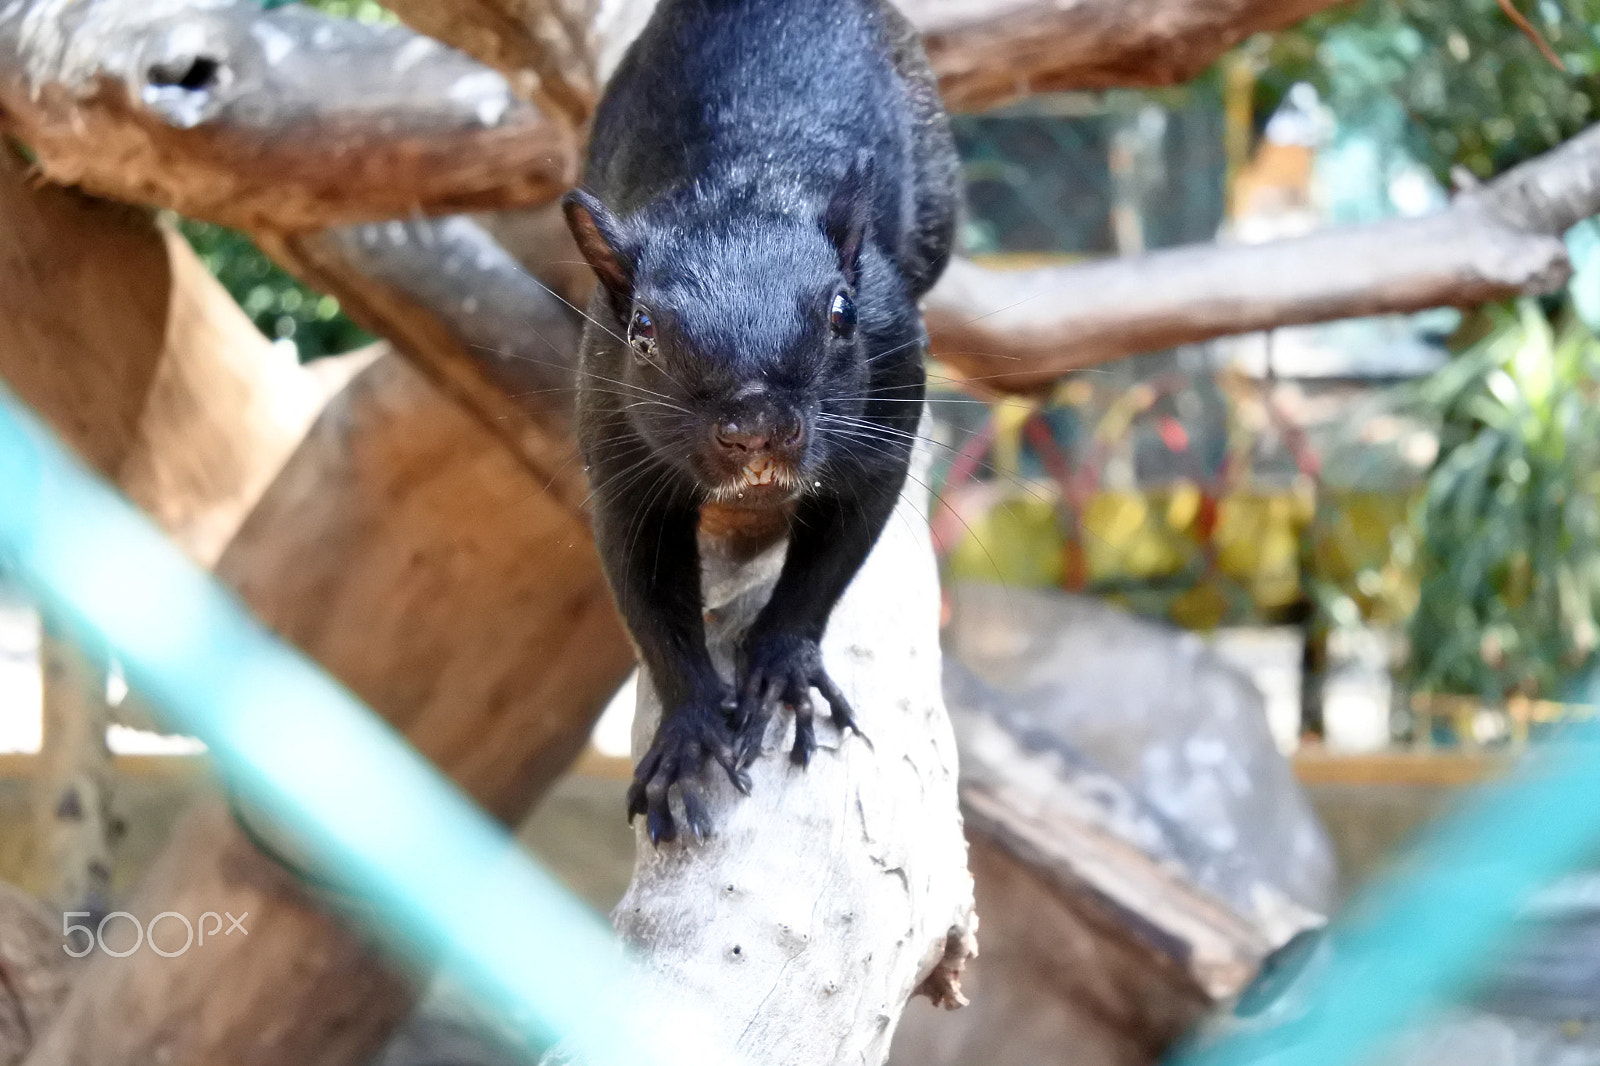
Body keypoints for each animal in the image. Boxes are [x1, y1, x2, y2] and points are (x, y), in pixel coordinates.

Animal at [562, 0, 959, 845]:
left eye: (843, 312)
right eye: (642, 330)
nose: (756, 427)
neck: (742, 188)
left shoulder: (886, 424)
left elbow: (829, 563)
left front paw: (782, 669)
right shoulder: (616, 457)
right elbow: (650, 600)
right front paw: (688, 734)